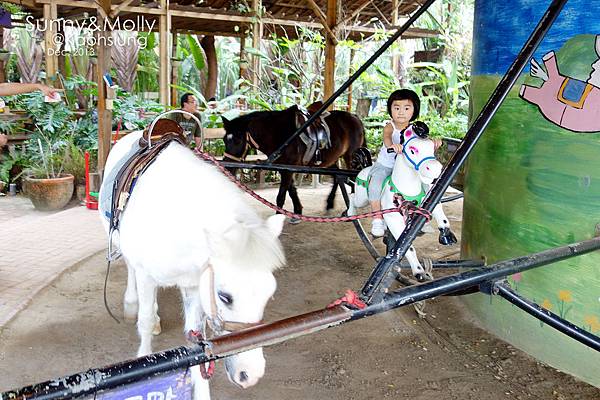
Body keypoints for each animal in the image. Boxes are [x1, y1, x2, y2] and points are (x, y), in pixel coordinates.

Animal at [98, 117, 286, 398]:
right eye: (225, 296)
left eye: (269, 294)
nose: (249, 375)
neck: (174, 223)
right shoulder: (146, 276)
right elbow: (144, 323)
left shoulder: (196, 283)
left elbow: (196, 341)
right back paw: (133, 304)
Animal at [223, 104, 366, 220]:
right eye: (224, 139)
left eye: (238, 140)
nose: (227, 168)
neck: (279, 134)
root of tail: (355, 117)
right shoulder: (284, 168)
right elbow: (292, 190)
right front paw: (298, 211)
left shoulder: (288, 169)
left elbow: (281, 196)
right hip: (331, 159)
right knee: (337, 177)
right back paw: (329, 204)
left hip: (350, 156)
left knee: (353, 177)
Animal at [344, 122, 458, 282]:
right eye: (412, 150)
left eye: (432, 148)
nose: (435, 169)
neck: (408, 189)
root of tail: (366, 167)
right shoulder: (393, 217)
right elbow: (406, 247)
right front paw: (419, 271)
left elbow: (440, 213)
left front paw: (447, 235)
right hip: (362, 198)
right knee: (353, 197)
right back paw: (351, 214)